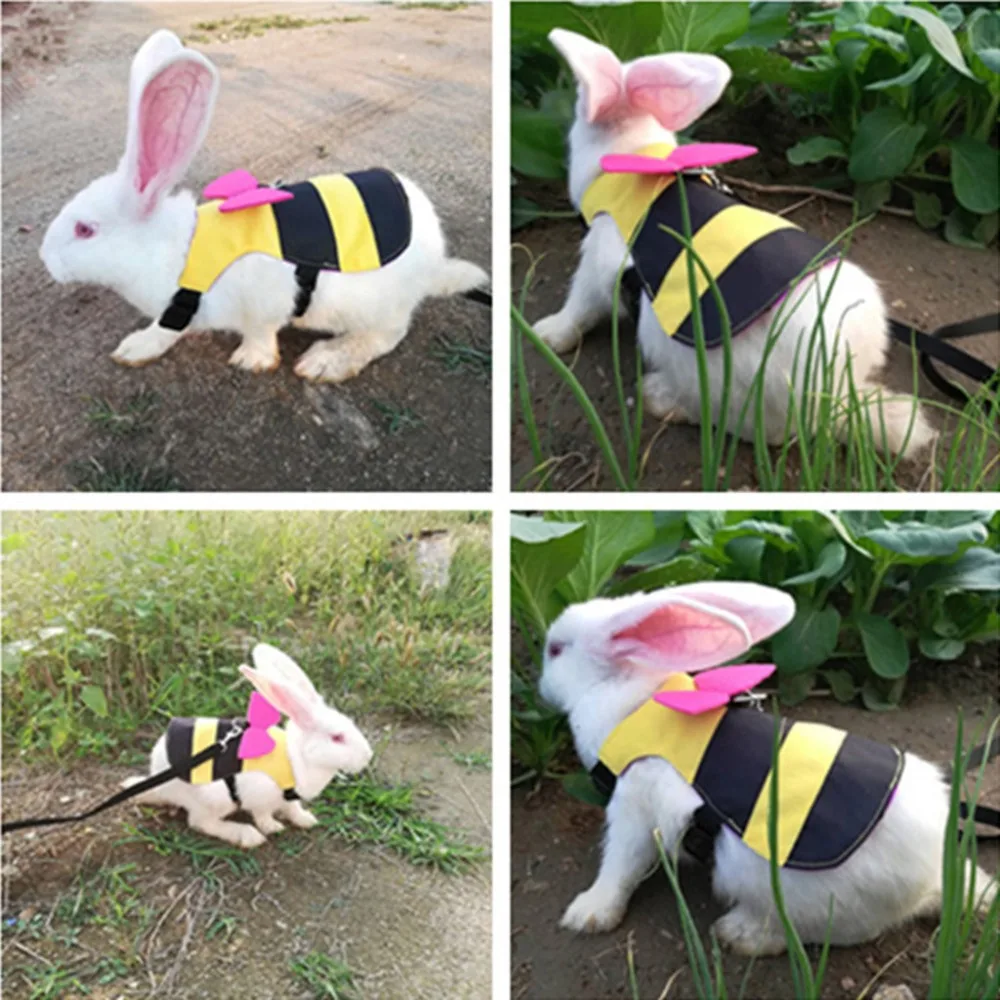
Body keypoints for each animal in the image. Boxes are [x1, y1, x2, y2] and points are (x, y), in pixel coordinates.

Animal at [40, 30, 488, 382]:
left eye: (84, 229)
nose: (45, 258)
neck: (182, 253)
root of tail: (434, 259)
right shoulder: (180, 310)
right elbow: (168, 328)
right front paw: (136, 348)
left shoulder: (264, 303)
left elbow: (259, 333)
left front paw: (251, 361)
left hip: (377, 306)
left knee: (387, 335)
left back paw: (325, 362)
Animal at [122, 643, 373, 849]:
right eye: (337, 738)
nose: (368, 756)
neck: (297, 758)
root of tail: (161, 783)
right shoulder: (259, 794)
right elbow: (262, 814)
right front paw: (272, 827)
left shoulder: (290, 798)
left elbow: (292, 808)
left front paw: (306, 820)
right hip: (214, 798)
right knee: (201, 822)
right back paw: (248, 836)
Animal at [535, 29, 933, 458]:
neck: (631, 156)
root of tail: (831, 392)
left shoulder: (599, 264)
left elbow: (581, 306)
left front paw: (547, 335)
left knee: (751, 428)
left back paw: (660, 398)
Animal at [538, 582, 995, 955]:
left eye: (556, 650)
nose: (540, 686)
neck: (622, 696)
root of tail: (933, 871)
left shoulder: (634, 807)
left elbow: (621, 865)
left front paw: (588, 914)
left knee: (833, 934)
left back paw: (740, 934)